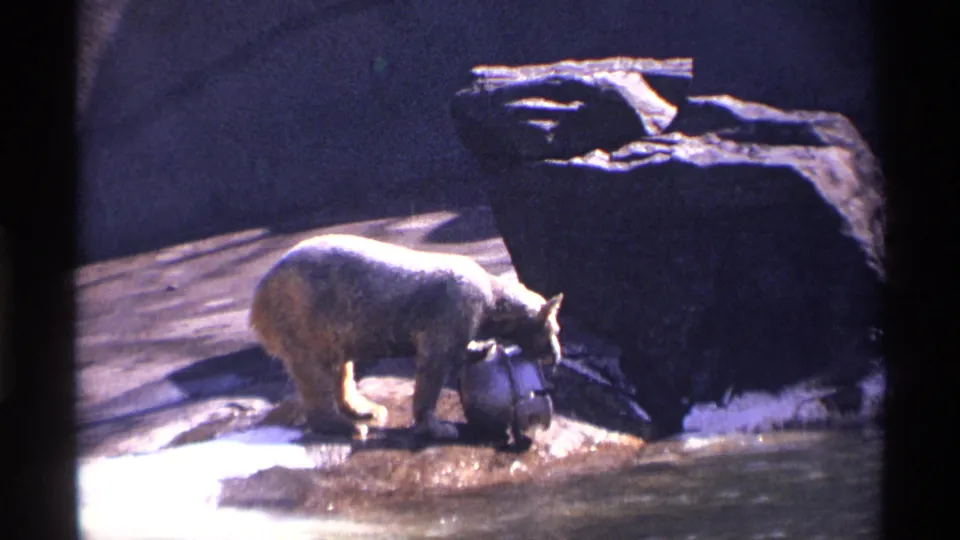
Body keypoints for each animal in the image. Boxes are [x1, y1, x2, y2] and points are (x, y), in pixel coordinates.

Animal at [248, 233, 564, 440]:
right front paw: (437, 427)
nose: (556, 356)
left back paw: (365, 410)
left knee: (339, 364)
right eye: (555, 330)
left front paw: (481, 347)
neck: (492, 292)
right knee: (314, 370)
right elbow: (434, 360)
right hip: (303, 309)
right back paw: (346, 425)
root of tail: (257, 299)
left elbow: (460, 346)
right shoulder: (455, 306)